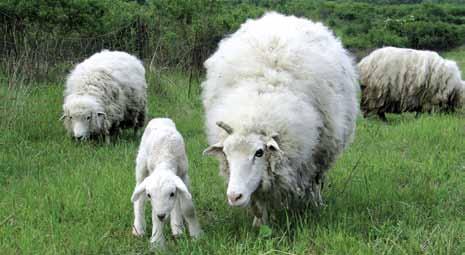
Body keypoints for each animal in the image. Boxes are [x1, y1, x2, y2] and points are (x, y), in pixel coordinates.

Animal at [131, 118, 202, 248]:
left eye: (171, 194)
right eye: (149, 195)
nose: (161, 215)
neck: (165, 157)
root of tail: (159, 118)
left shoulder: (184, 176)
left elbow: (188, 208)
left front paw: (196, 235)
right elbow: (154, 214)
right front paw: (157, 242)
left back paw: (177, 228)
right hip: (141, 166)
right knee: (139, 199)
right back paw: (138, 229)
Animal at [201, 12, 358, 227]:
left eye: (259, 153)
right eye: (226, 153)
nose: (234, 196)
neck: (258, 100)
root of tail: (287, 17)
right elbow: (260, 201)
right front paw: (260, 223)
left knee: (316, 180)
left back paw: (315, 203)